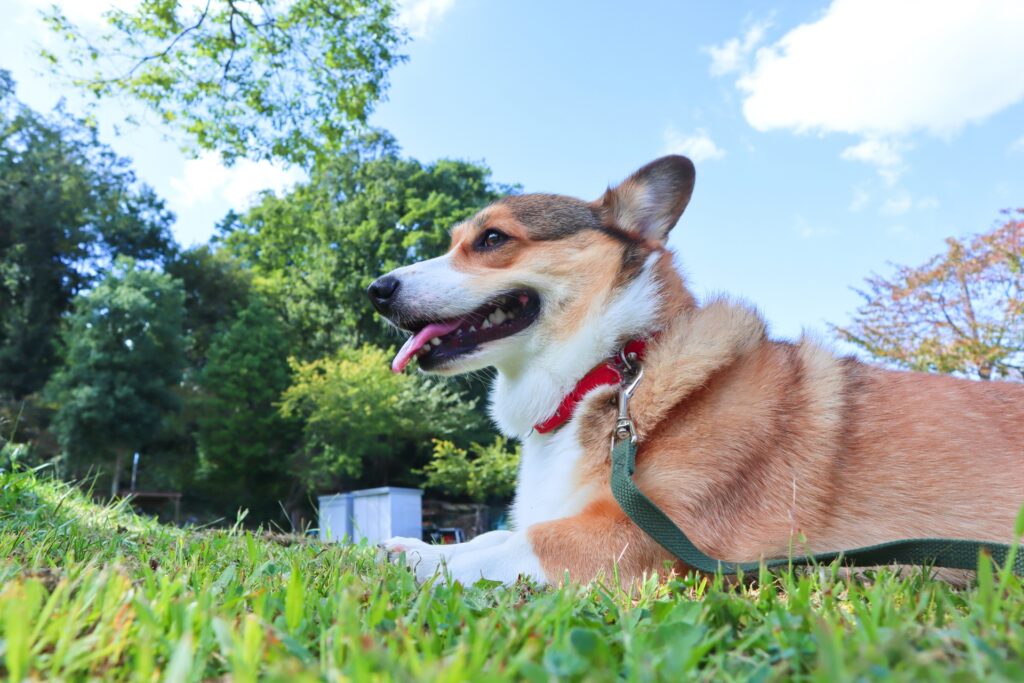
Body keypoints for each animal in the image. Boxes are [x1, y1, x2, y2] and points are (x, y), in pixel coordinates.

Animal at [368, 156, 1024, 589]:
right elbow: (493, 534)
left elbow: (509, 545)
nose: (377, 289)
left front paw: (418, 559)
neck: (610, 371)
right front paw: (409, 544)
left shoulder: (644, 538)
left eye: (492, 239)